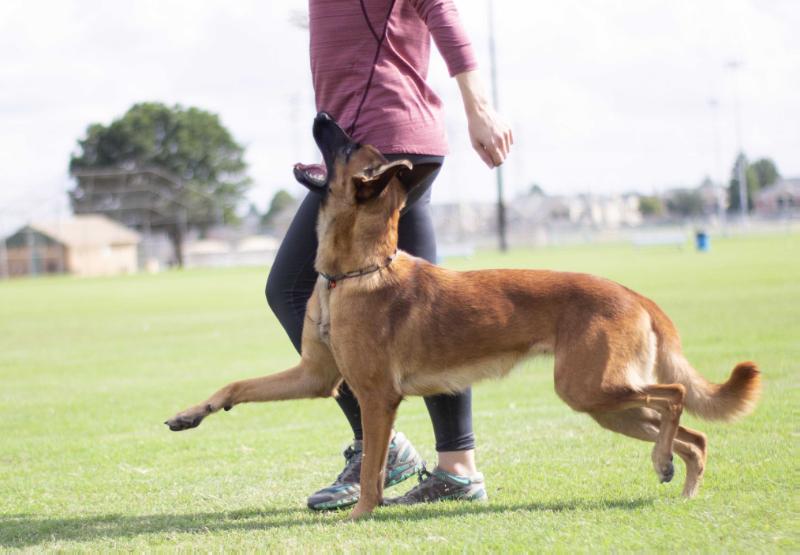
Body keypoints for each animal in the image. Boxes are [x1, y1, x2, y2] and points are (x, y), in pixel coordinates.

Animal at [166, 113, 760, 520]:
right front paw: (193, 413)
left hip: (592, 389)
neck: (354, 273)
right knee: (694, 437)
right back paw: (680, 481)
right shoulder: (317, 377)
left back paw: (666, 465)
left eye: (348, 144)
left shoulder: (377, 398)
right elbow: (237, 385)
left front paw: (362, 513)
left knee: (675, 397)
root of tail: (636, 295)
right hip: (607, 405)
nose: (324, 114)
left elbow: (374, 468)